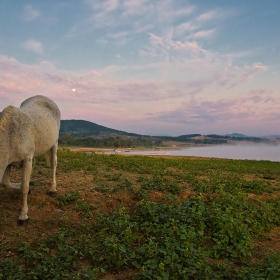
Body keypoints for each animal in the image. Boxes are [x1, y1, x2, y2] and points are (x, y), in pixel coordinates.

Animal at [0, 95, 60, 225]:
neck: (10, 133)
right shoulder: (9, 162)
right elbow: (6, 183)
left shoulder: (26, 159)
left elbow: (24, 187)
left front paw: (23, 216)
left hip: (54, 143)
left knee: (53, 164)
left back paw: (53, 189)